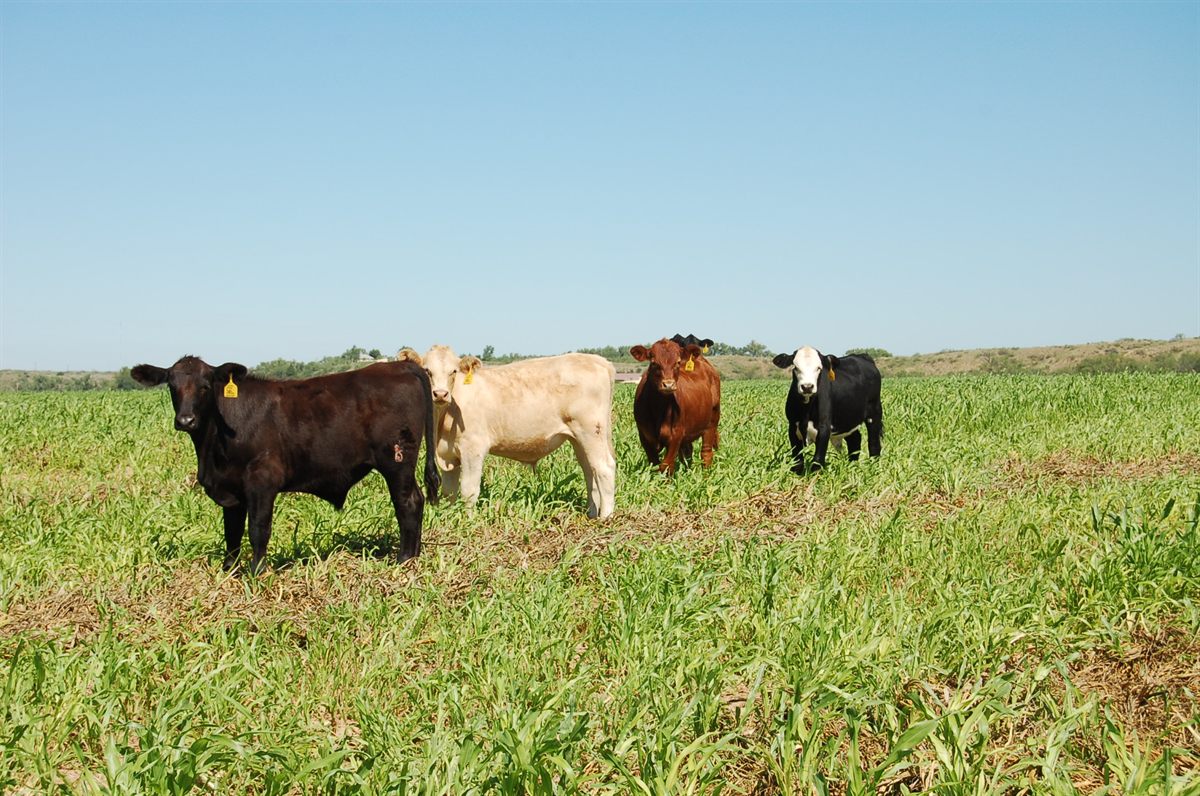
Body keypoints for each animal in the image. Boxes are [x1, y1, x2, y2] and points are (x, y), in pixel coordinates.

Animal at [131, 356, 440, 574]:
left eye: (206, 387)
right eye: (172, 387)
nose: (186, 421)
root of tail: (401, 366)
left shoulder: (262, 480)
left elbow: (258, 529)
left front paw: (257, 572)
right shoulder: (231, 489)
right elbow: (231, 533)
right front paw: (228, 571)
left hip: (396, 462)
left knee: (408, 503)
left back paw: (403, 559)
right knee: (417, 500)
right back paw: (414, 556)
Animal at [396, 346, 617, 518]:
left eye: (454, 371)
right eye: (427, 370)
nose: (440, 394)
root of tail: (597, 360)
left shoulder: (473, 449)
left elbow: (468, 490)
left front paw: (468, 521)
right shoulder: (448, 453)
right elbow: (449, 492)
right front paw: (450, 517)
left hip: (591, 431)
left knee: (604, 467)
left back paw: (605, 517)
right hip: (578, 437)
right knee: (589, 470)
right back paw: (591, 513)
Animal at [630, 338, 721, 475]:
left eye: (678, 362)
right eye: (653, 362)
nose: (668, 384)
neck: (659, 409)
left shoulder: (676, 435)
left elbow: (666, 466)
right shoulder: (645, 436)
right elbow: (654, 465)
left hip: (712, 422)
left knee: (706, 453)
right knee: (688, 453)